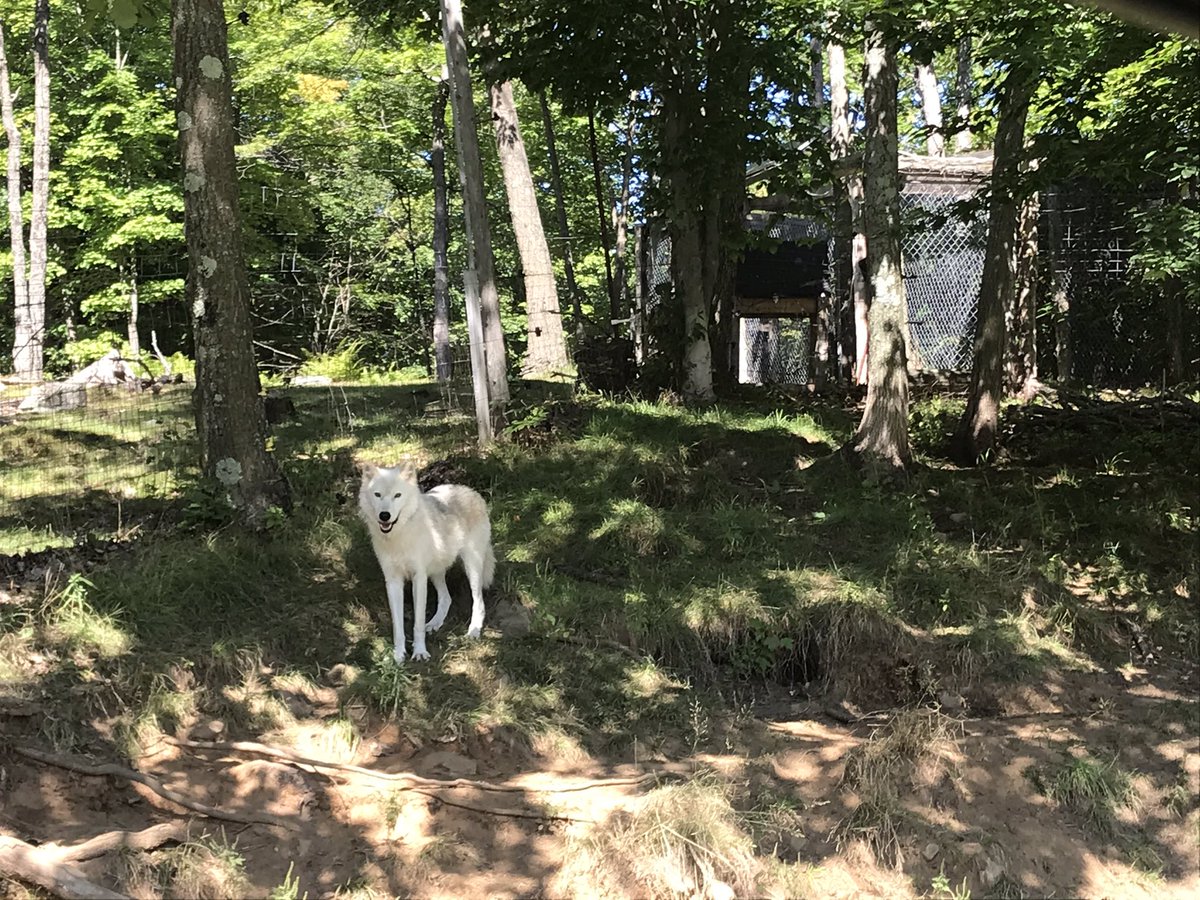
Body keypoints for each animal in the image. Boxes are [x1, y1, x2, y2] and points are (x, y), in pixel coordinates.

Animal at [358, 464, 495, 663]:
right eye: (377, 495)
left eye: (397, 495)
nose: (385, 516)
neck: (400, 535)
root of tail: (470, 491)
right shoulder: (393, 581)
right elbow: (398, 626)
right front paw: (398, 655)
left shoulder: (419, 578)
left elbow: (417, 623)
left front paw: (420, 652)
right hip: (436, 571)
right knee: (446, 598)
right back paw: (434, 623)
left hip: (472, 566)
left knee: (479, 601)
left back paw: (473, 631)